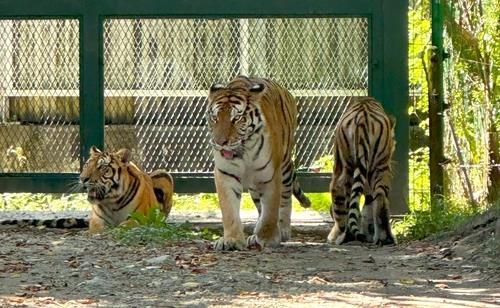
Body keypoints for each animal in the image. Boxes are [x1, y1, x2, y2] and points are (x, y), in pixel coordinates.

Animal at [206, 76, 308, 251]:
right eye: (215, 118)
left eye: (236, 119)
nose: (220, 143)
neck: (244, 150)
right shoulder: (226, 174)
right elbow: (229, 210)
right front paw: (231, 240)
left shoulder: (271, 175)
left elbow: (271, 211)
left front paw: (267, 238)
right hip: (254, 185)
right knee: (260, 206)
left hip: (285, 168)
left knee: (285, 199)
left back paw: (282, 231)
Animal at [326, 96, 396, 245]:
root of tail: (363, 117)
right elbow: (366, 207)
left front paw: (335, 235)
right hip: (381, 168)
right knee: (380, 198)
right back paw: (385, 238)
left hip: (352, 169)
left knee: (347, 199)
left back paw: (347, 236)